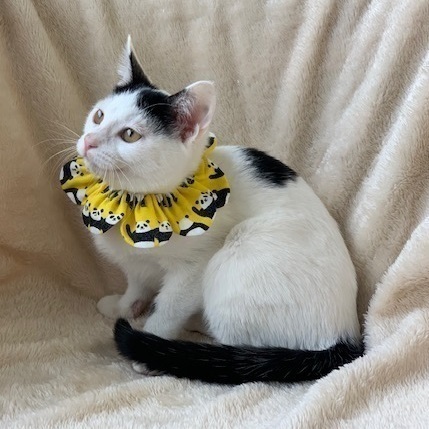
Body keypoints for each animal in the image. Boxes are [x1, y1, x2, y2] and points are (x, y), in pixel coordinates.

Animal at [74, 36, 362, 384]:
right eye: (99, 116)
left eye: (130, 135)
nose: (89, 141)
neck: (136, 201)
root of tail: (346, 334)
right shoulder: (136, 263)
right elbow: (137, 282)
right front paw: (125, 305)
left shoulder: (193, 270)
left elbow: (169, 307)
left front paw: (152, 341)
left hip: (236, 256)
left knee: (239, 349)